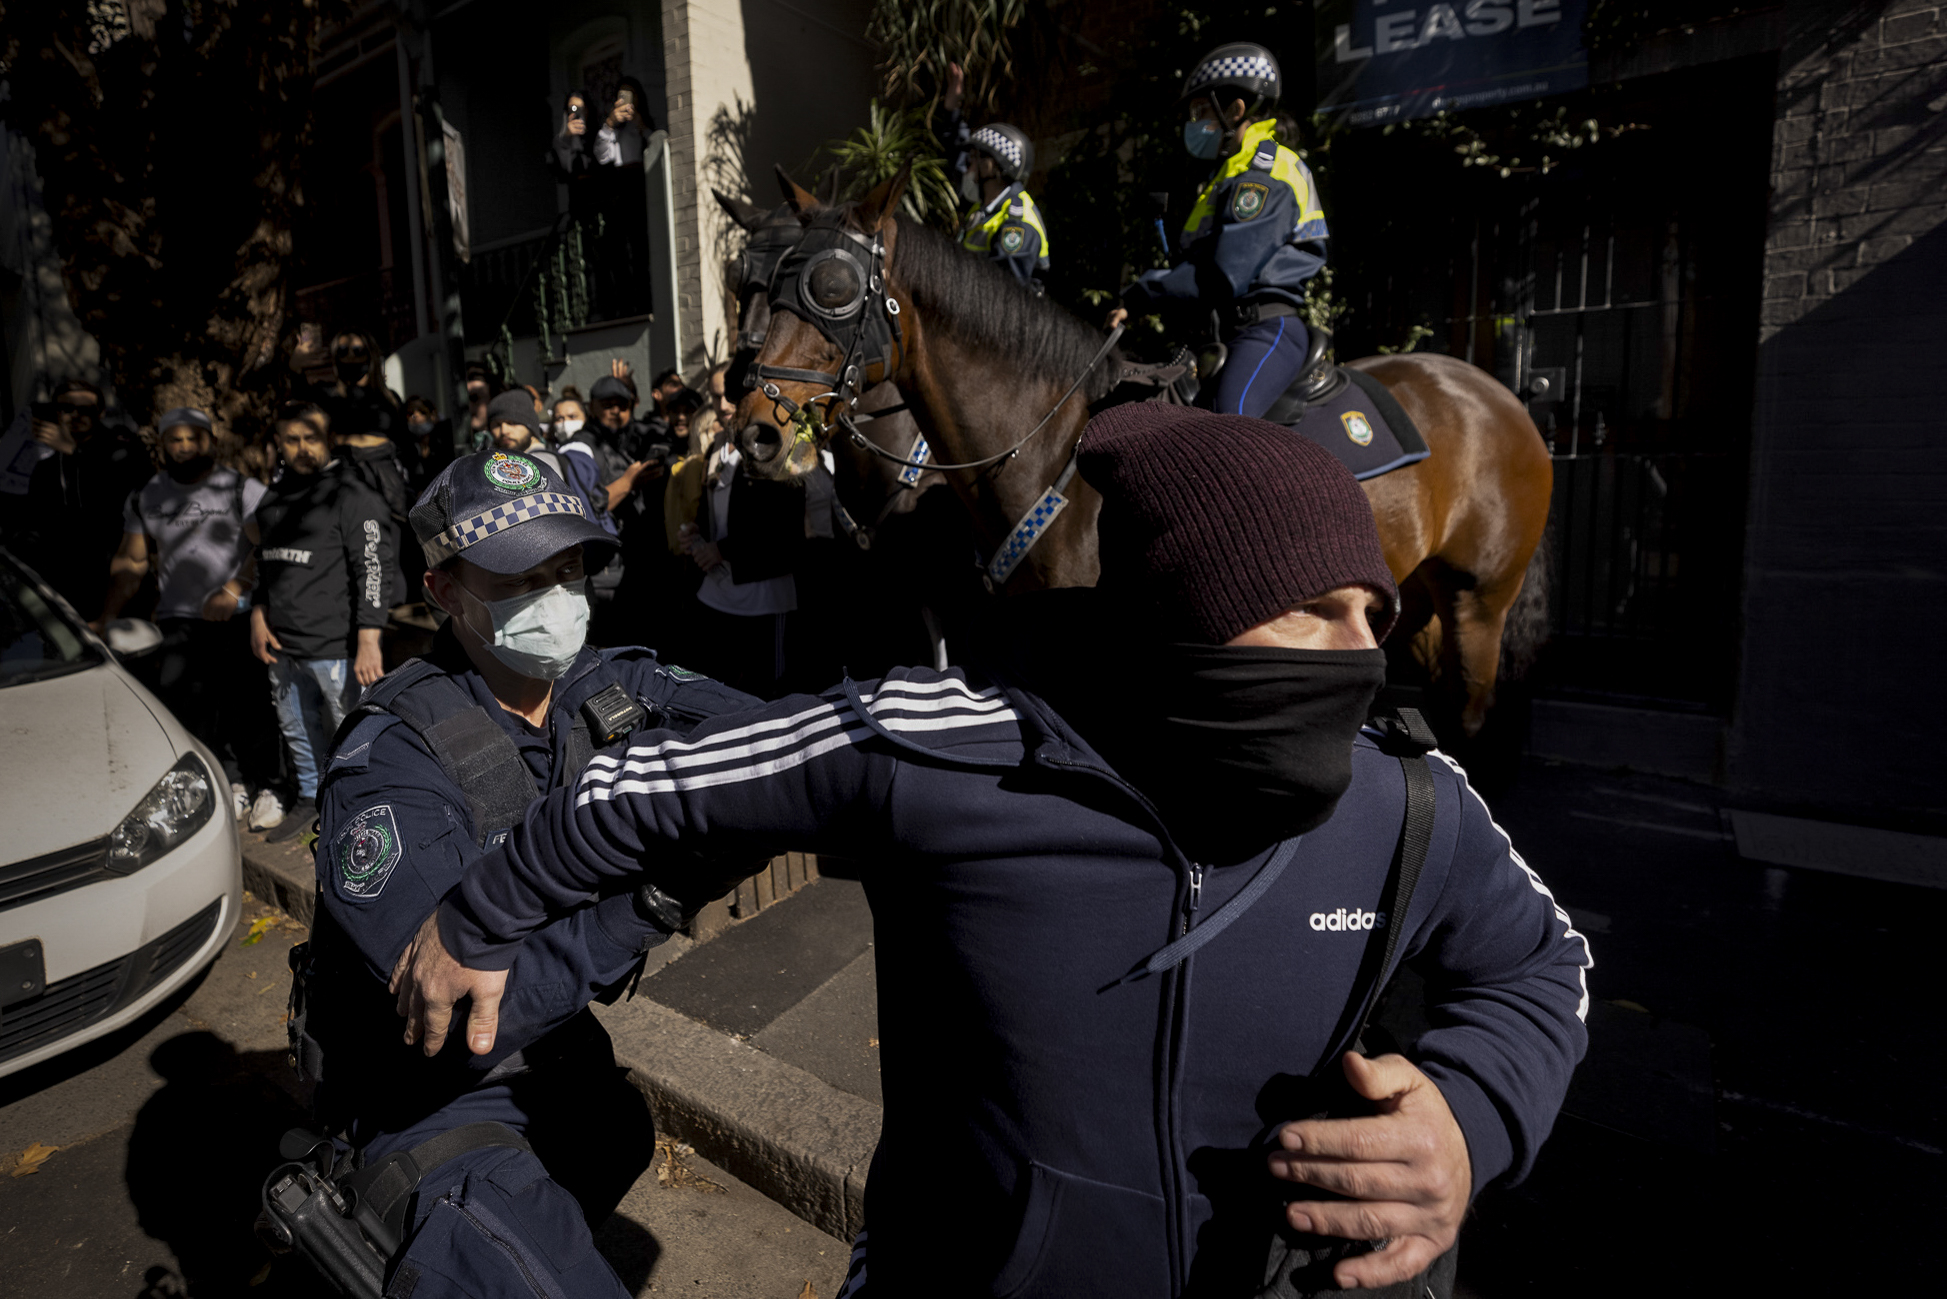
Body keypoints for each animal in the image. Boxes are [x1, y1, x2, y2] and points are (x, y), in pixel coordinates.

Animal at [732, 171, 1549, 736]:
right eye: (754, 280)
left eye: (833, 286)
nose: (754, 428)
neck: (1051, 448)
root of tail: (1496, 392)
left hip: (1480, 599)